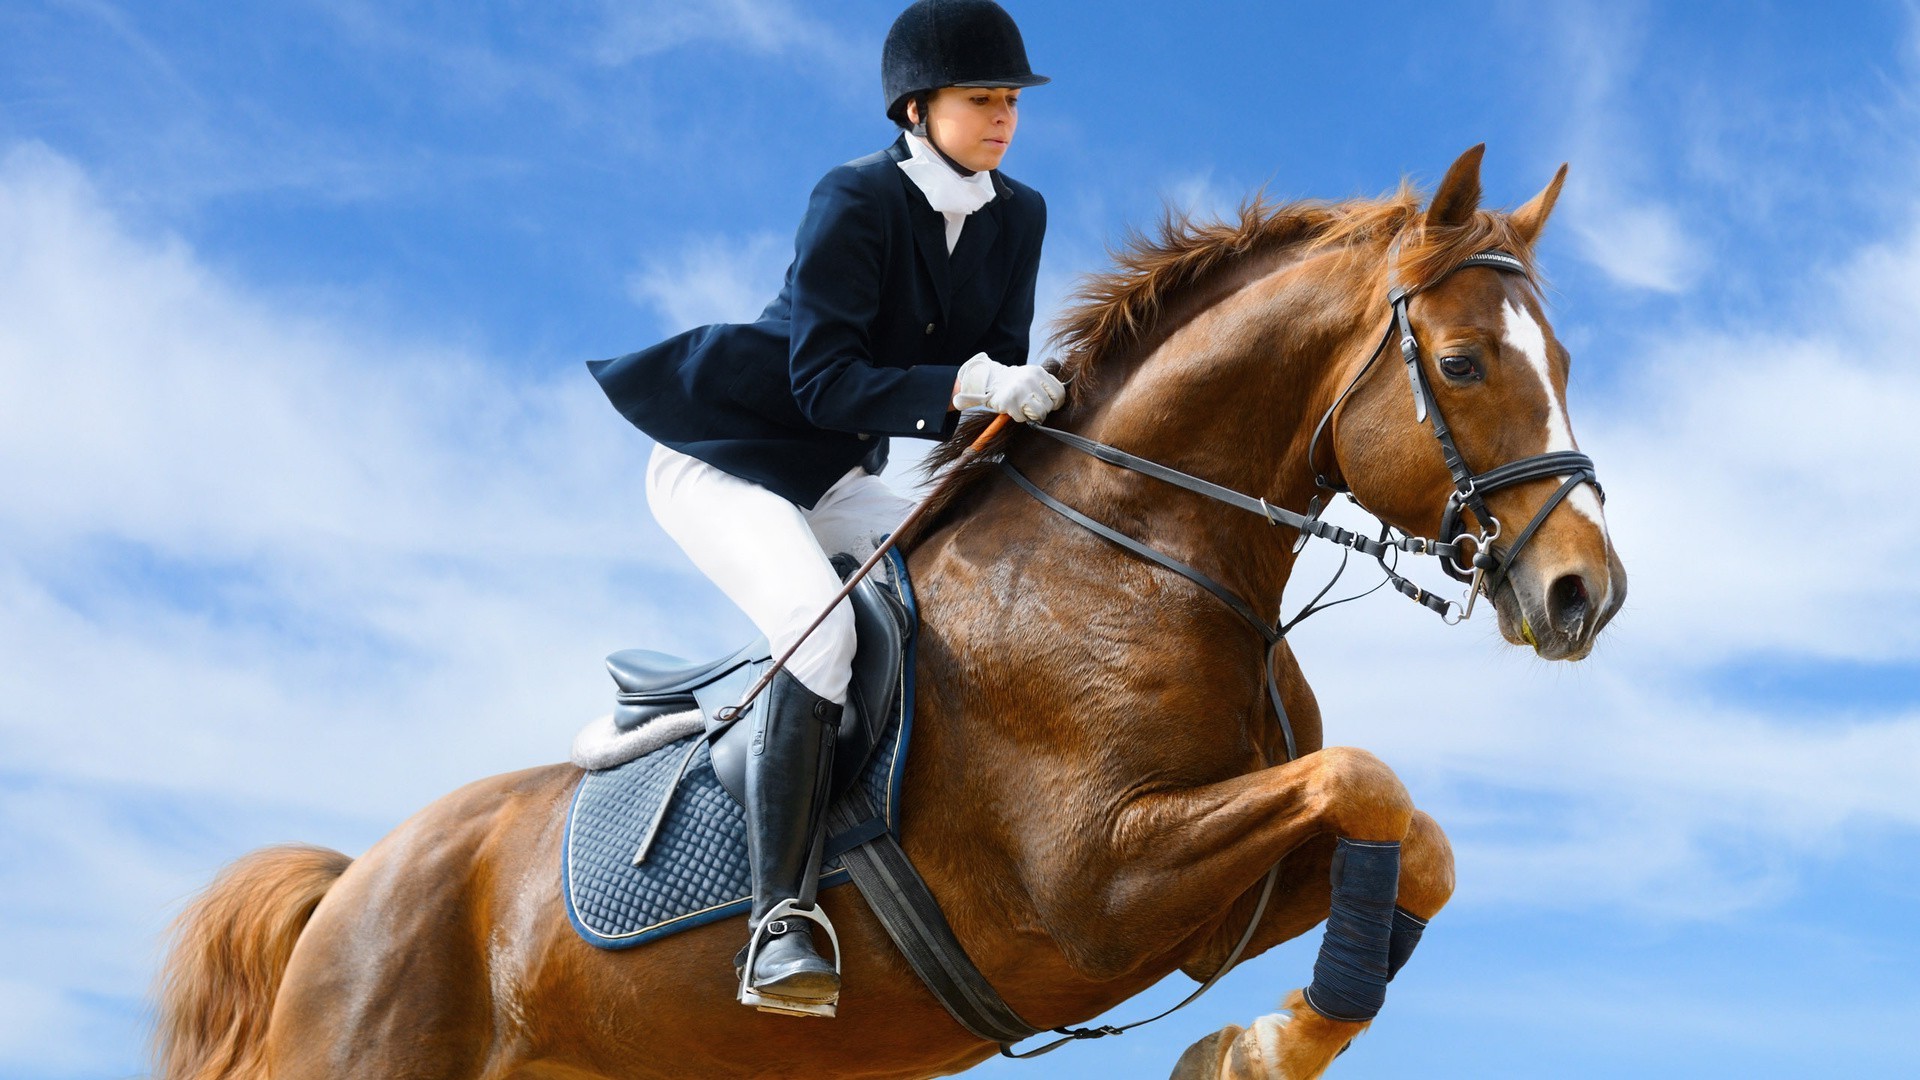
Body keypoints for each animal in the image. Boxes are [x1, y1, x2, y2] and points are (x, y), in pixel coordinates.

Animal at [157, 147, 1620, 1076]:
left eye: (1561, 359)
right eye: (1465, 363)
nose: (1584, 594)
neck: (1142, 556)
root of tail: (354, 882)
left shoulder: (1214, 903)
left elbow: (1413, 840)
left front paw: (1257, 1047)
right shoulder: (1098, 886)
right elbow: (1369, 782)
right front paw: (1257, 1052)